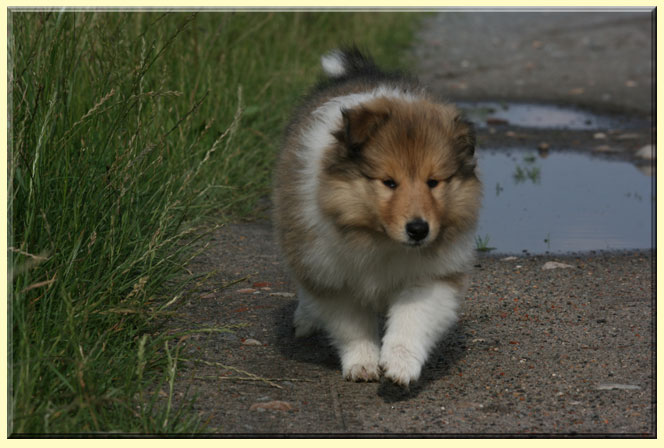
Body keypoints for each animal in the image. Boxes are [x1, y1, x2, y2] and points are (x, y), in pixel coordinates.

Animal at [273, 47, 482, 386]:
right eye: (389, 182)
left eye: (433, 182)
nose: (418, 230)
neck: (379, 240)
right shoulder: (335, 279)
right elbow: (353, 327)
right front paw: (362, 363)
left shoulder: (432, 276)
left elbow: (412, 320)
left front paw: (400, 365)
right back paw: (305, 319)